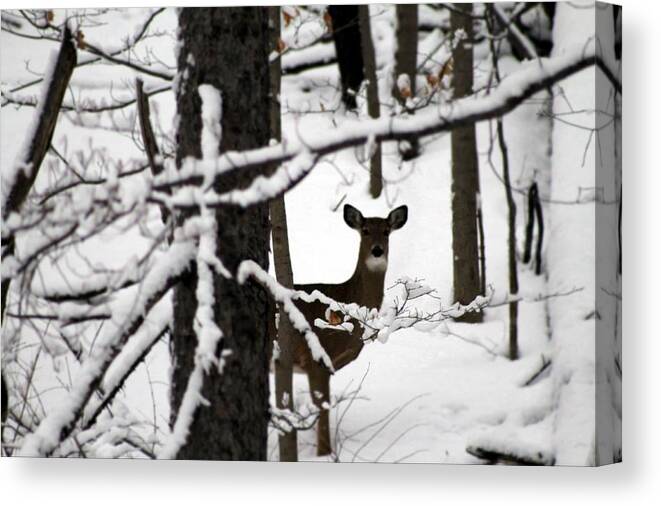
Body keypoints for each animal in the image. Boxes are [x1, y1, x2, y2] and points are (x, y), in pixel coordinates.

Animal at [288, 204, 408, 456]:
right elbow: (323, 408)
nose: (377, 251)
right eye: (365, 230)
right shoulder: (316, 358)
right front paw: (323, 454)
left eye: (386, 231)